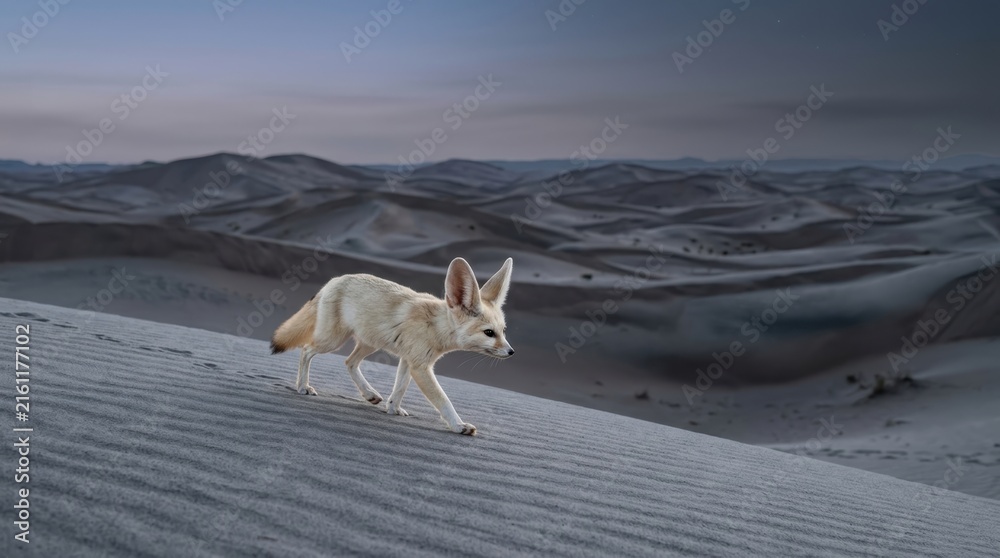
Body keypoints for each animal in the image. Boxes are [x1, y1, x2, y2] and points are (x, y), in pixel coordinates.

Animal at [270, 257, 514, 435]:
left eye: (504, 331)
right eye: (489, 333)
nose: (511, 352)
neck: (436, 326)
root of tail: (335, 279)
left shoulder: (408, 359)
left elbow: (400, 388)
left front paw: (393, 409)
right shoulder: (420, 366)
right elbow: (443, 400)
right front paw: (458, 425)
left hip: (369, 344)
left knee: (349, 362)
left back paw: (369, 394)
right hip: (332, 340)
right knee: (306, 350)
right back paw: (303, 386)